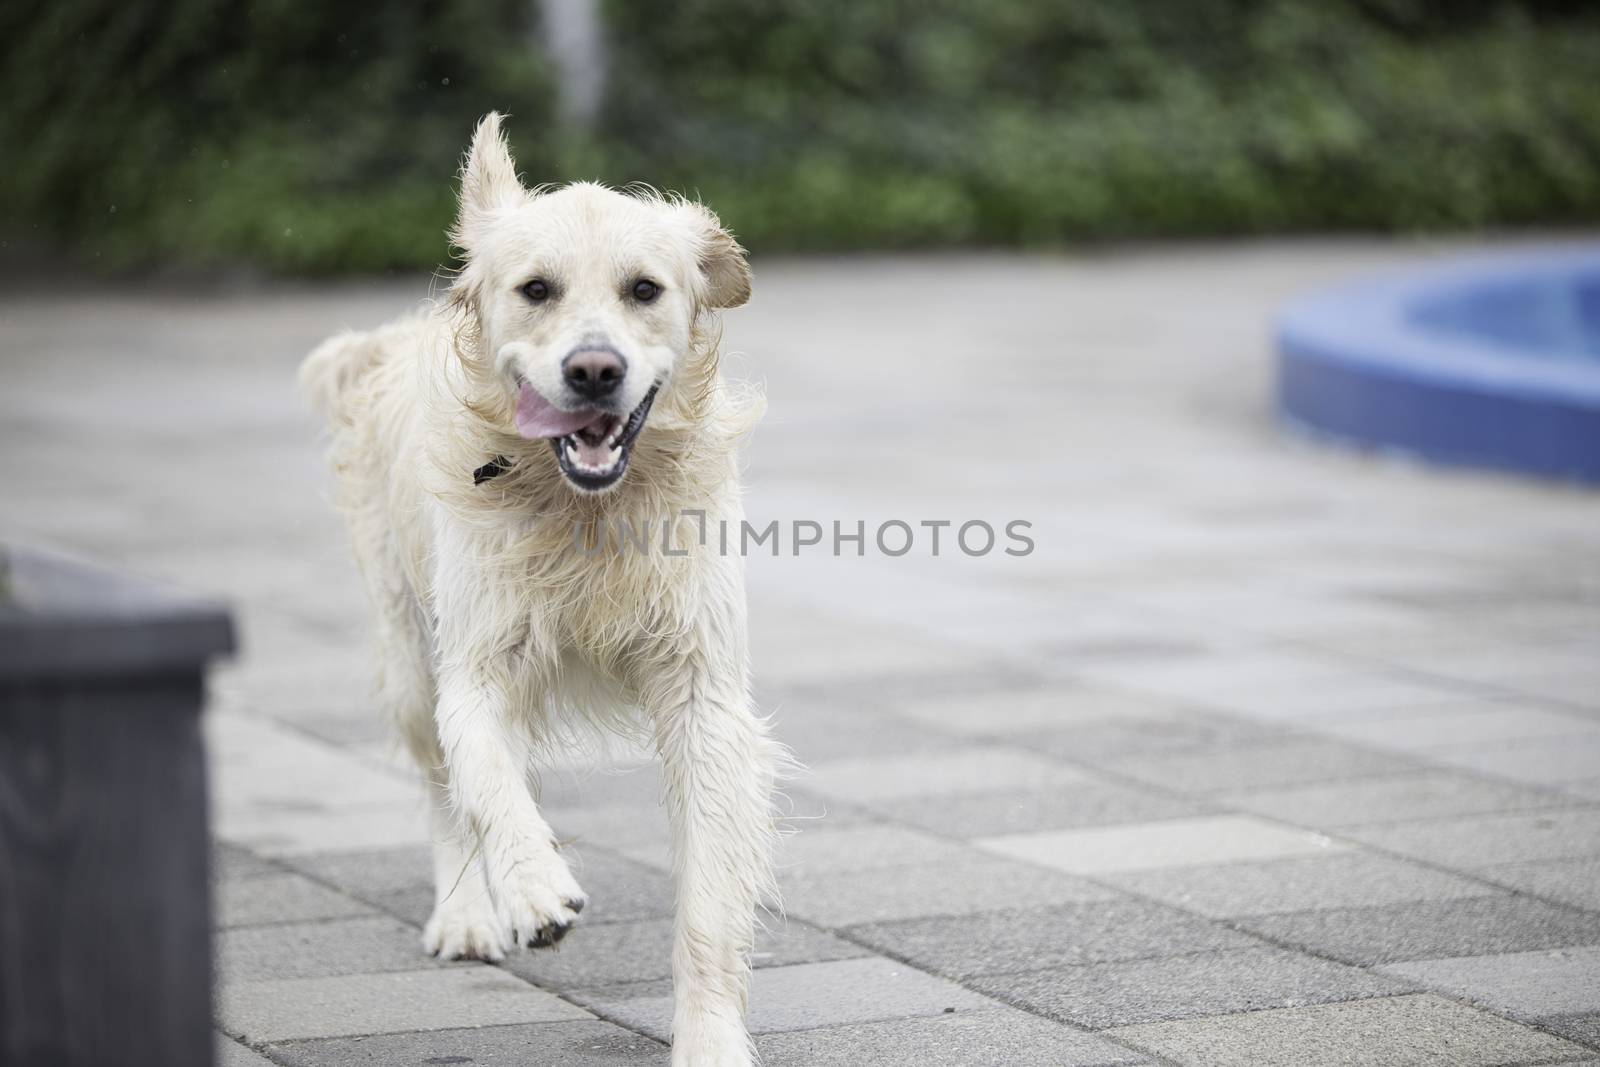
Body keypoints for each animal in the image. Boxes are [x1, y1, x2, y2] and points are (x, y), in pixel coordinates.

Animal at [299, 112, 780, 1062]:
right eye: (535, 289)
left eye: (644, 289)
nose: (594, 369)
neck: (585, 507)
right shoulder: (473, 667)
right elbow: (487, 780)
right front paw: (532, 887)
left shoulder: (704, 692)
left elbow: (709, 898)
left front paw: (709, 1036)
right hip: (408, 655)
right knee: (443, 789)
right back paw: (467, 914)